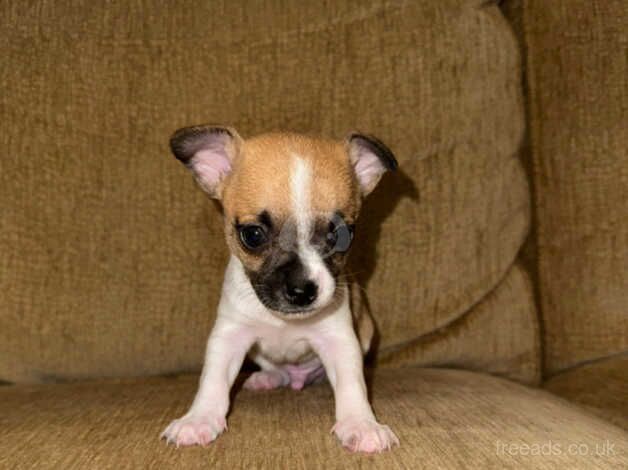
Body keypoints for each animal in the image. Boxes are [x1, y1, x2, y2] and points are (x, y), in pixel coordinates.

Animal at [161, 125, 398, 452]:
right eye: (253, 235)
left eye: (343, 235)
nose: (301, 290)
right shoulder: (229, 337)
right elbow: (212, 380)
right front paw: (198, 419)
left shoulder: (340, 340)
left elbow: (353, 385)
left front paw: (361, 424)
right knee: (277, 371)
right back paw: (268, 378)